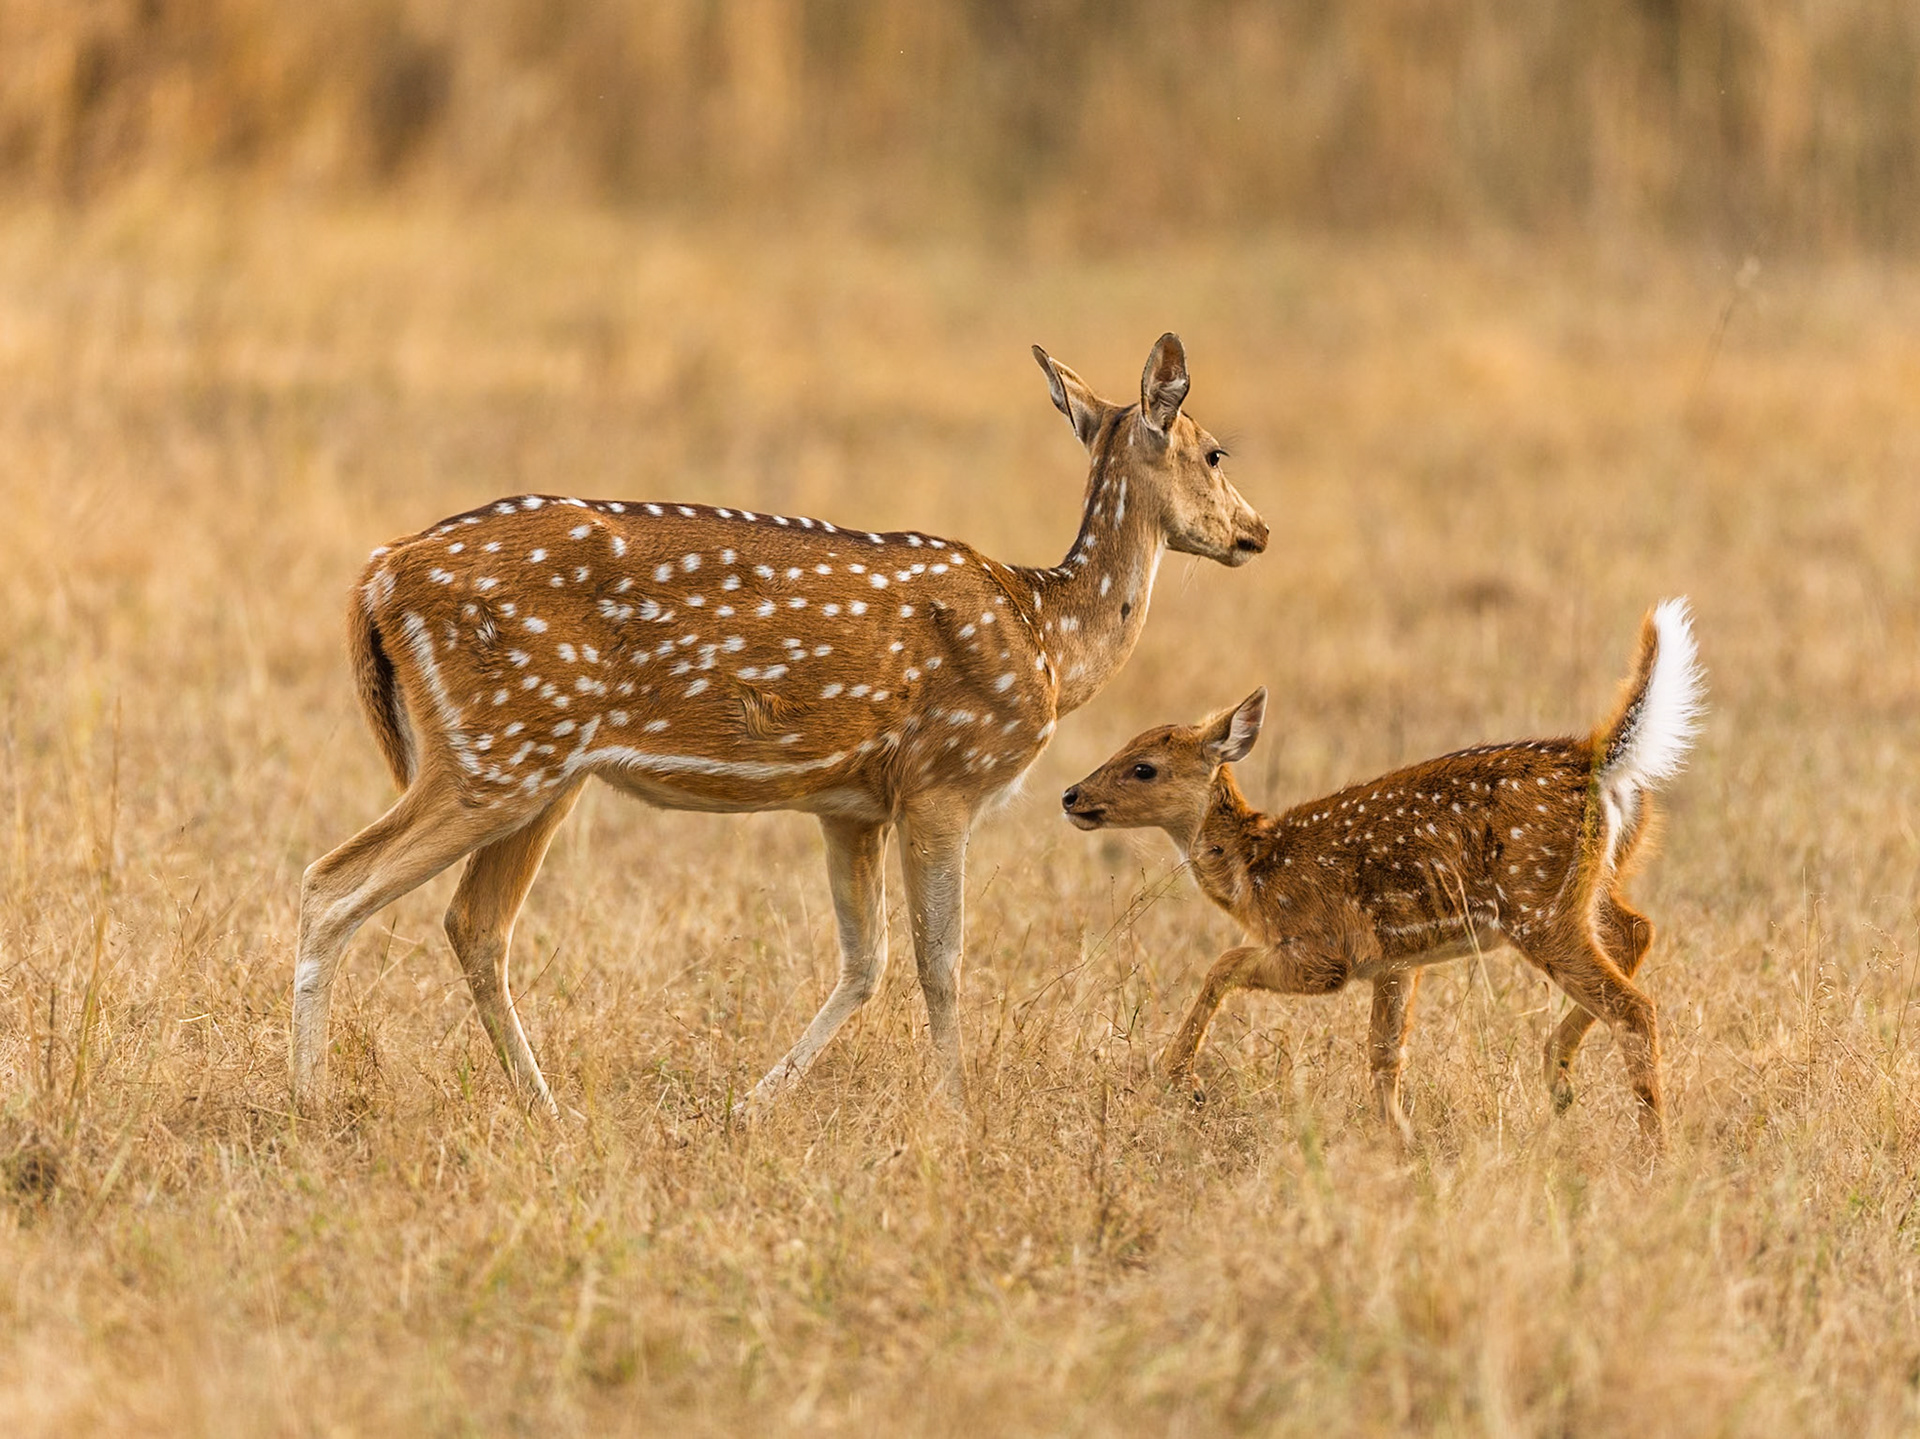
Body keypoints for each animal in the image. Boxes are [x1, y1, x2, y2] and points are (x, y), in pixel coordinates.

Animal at [291, 334, 1269, 1118]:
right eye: (1216, 451)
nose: (1256, 532)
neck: (1048, 638)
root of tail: (377, 576)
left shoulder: (850, 804)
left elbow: (865, 960)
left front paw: (748, 1107)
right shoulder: (943, 778)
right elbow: (940, 960)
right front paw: (959, 1114)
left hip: (537, 768)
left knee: (473, 924)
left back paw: (547, 1110)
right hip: (497, 751)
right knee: (331, 883)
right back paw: (309, 1100)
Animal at [1060, 599, 1703, 1149]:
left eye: (1144, 767)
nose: (1070, 795)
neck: (1254, 874)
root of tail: (1597, 759)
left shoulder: (1325, 954)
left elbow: (1225, 963)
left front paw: (1181, 1080)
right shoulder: (1394, 961)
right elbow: (1384, 1052)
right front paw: (1402, 1139)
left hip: (1536, 901)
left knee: (1634, 1006)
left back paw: (1652, 1148)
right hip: (1590, 885)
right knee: (1637, 931)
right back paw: (1558, 1075)